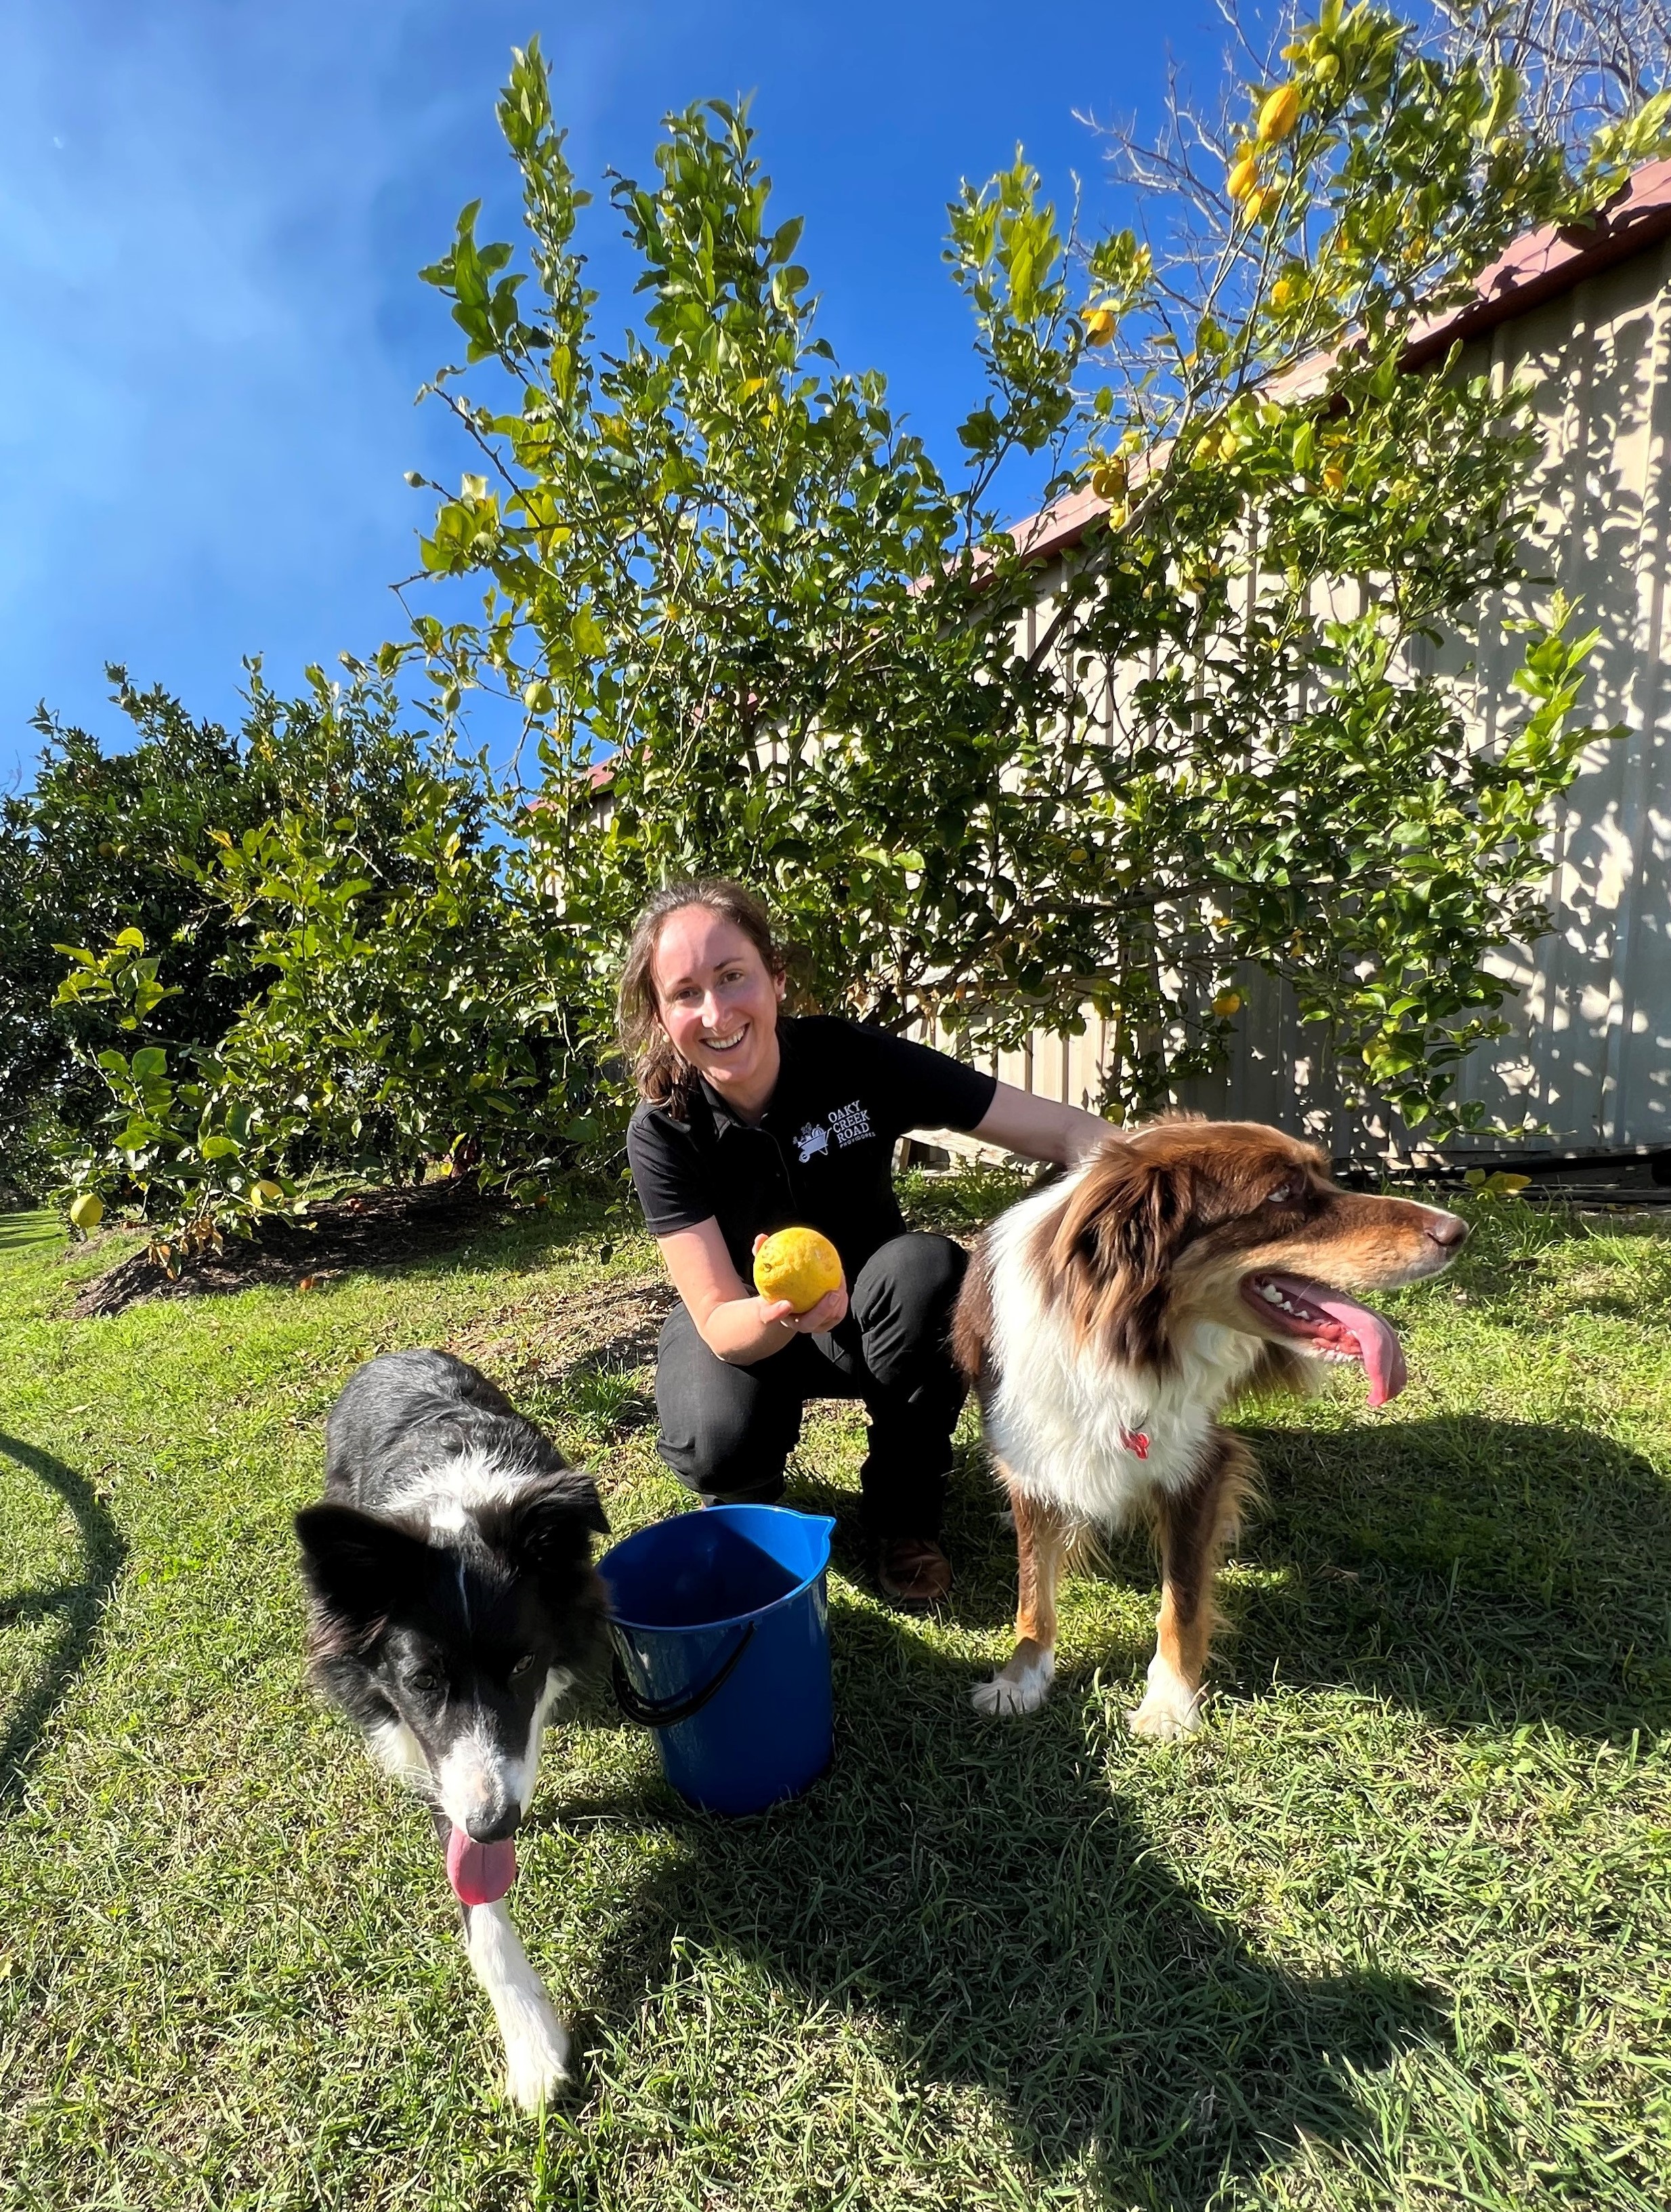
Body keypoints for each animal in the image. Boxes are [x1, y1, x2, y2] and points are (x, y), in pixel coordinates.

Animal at [296, 1345, 610, 2106]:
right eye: (421, 1682)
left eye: (523, 1664)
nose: (494, 1825)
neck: (459, 1514)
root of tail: (394, 1352)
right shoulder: (438, 1764)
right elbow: (479, 1904)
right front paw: (532, 2046)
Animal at [954, 1132, 1458, 1734]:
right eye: (1283, 1192)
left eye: (1323, 1173)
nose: (1456, 1231)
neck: (1122, 1345)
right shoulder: (1030, 1454)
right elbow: (1033, 1590)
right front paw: (1019, 1679)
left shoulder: (1196, 1464)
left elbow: (1184, 1597)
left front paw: (1169, 1702)